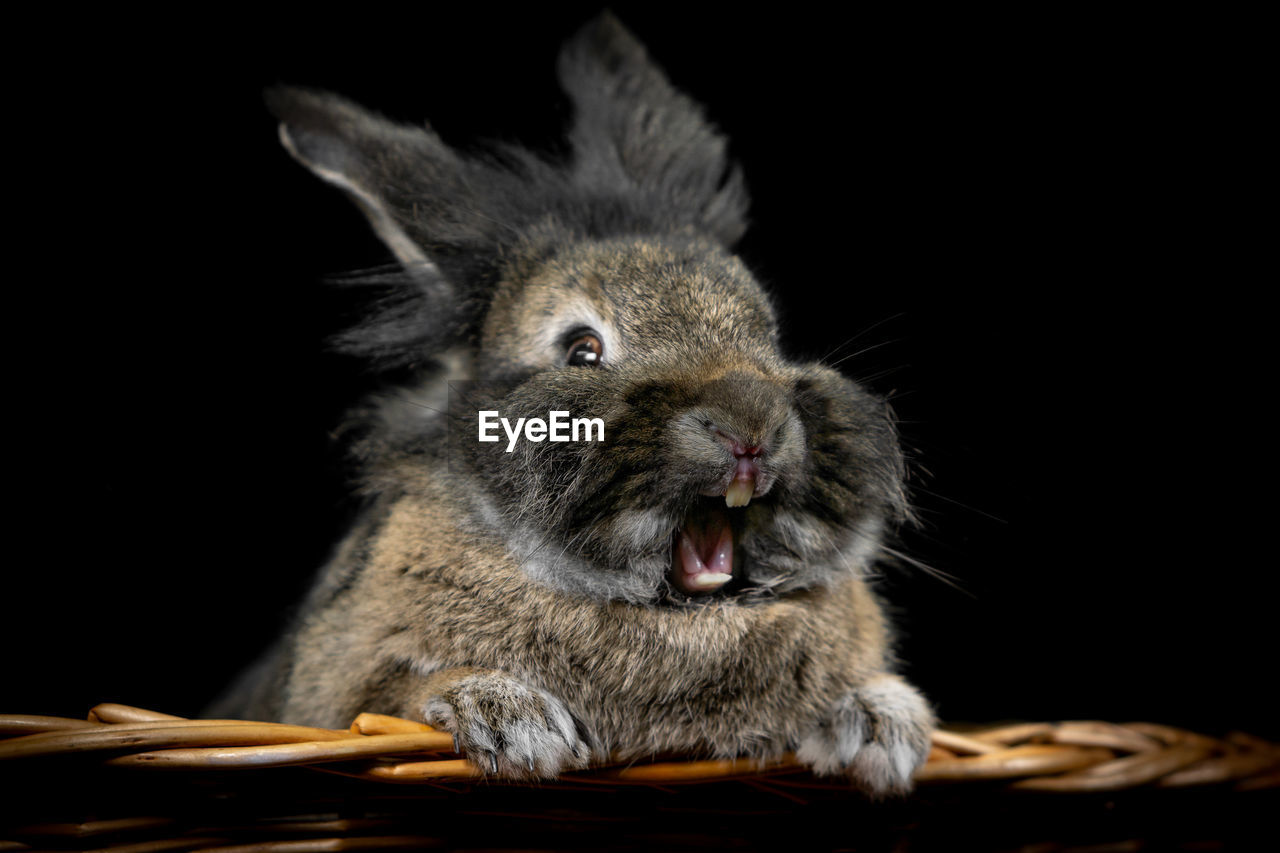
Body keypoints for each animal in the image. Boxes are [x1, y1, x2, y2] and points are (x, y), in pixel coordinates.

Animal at [209, 13, 931, 794]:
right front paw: (508, 720)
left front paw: (888, 724)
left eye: (768, 333)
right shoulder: (336, 692)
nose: (752, 427)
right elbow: (391, 697)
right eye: (582, 349)